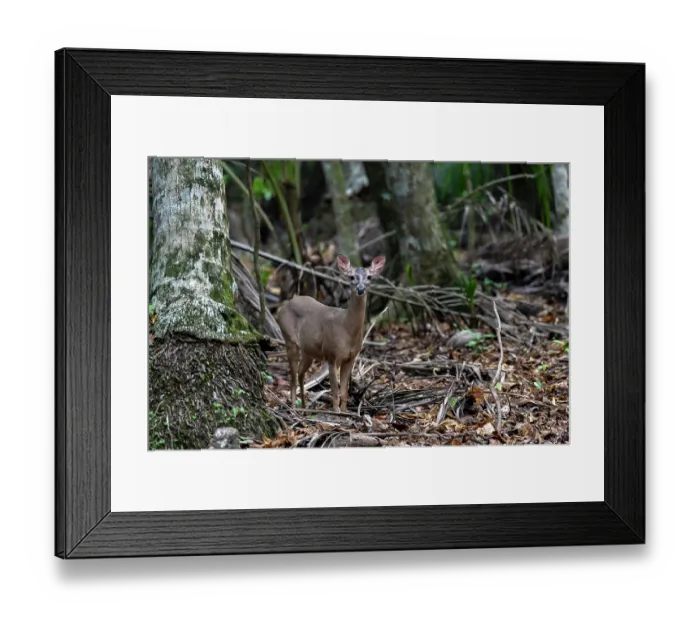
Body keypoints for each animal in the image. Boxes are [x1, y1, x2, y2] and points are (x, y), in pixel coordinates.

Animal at [277, 254, 386, 412]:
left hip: (308, 350)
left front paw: (346, 411)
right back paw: (293, 408)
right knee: (293, 377)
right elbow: (334, 390)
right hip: (289, 339)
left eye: (369, 277)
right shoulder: (331, 354)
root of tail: (282, 308)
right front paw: (336, 412)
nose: (360, 289)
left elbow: (344, 391)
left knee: (301, 373)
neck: (347, 329)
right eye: (351, 277)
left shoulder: (350, 358)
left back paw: (304, 405)